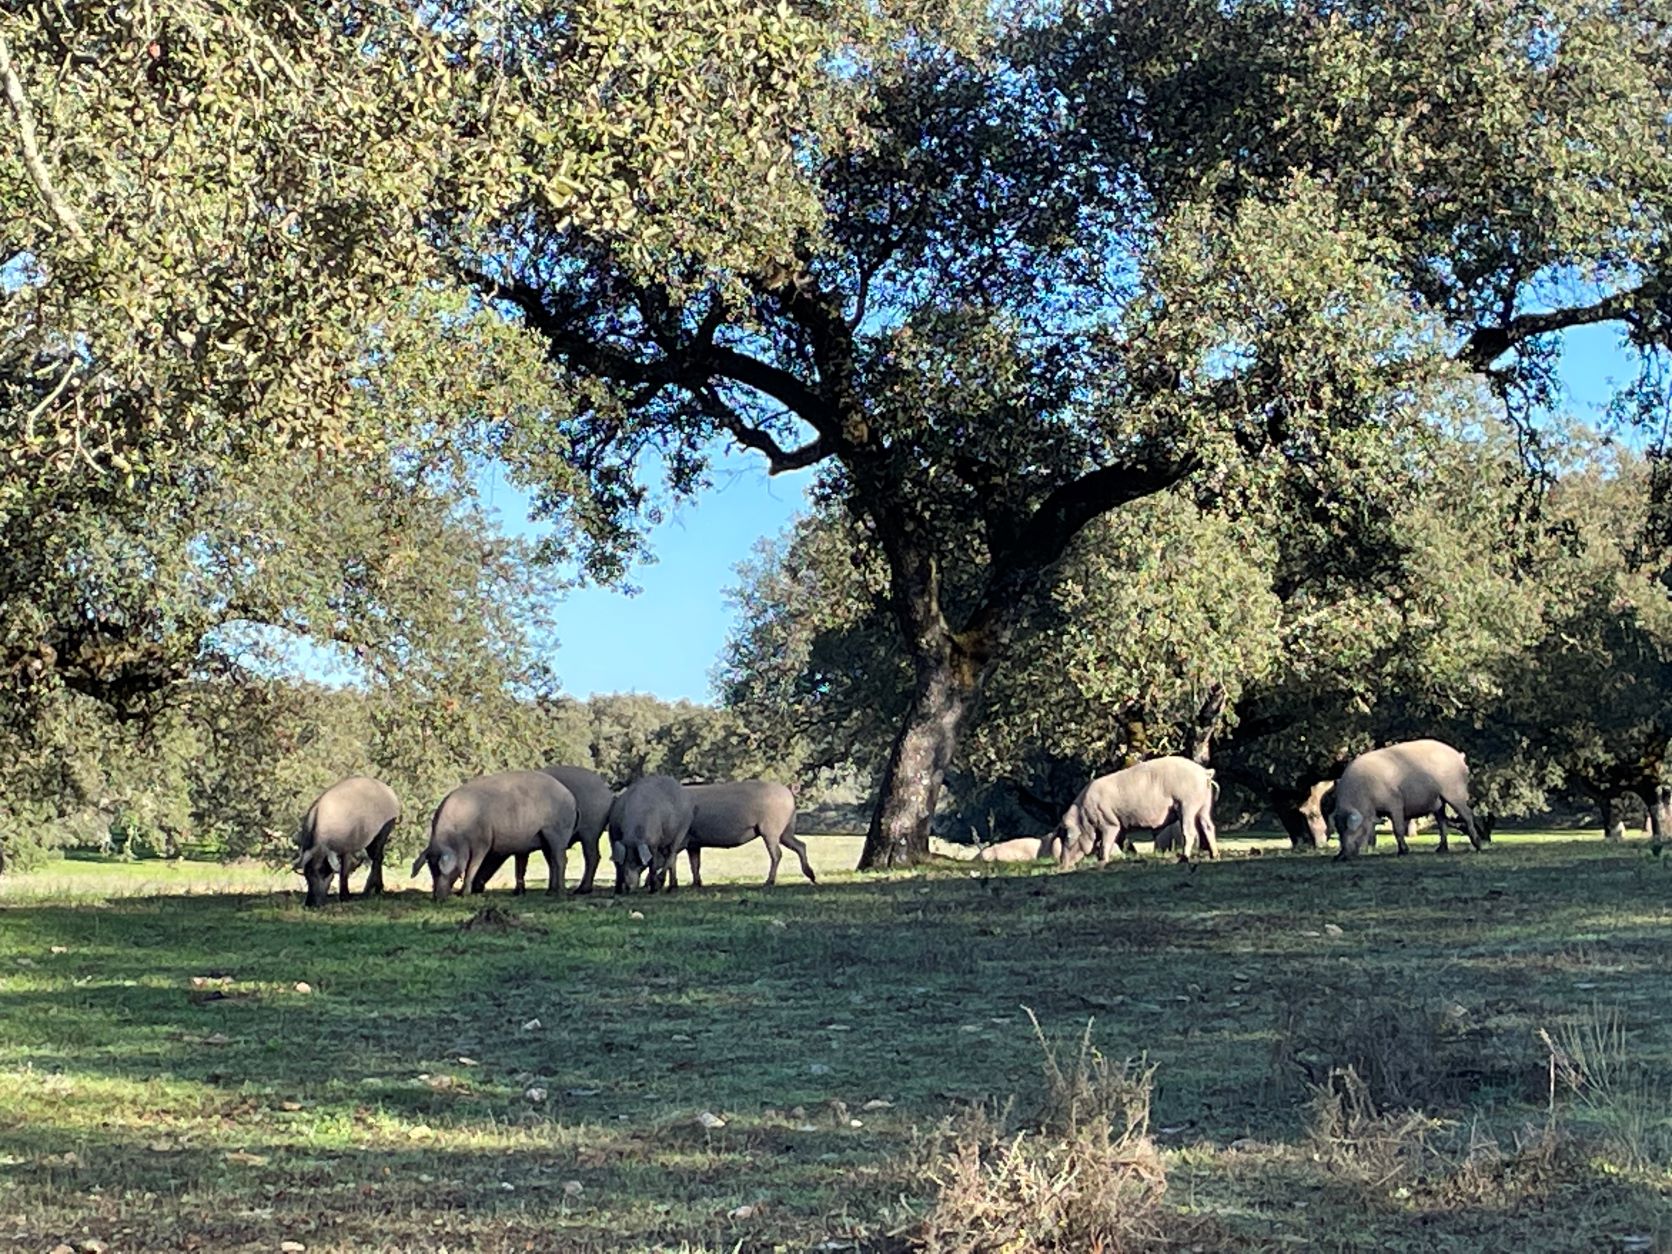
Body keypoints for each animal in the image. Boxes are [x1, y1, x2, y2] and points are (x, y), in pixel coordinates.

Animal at [407, 772, 578, 896]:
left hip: (557, 833)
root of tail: (570, 797)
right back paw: (549, 891)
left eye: (440, 869)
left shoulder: (483, 842)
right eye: (431, 869)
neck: (458, 834)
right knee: (552, 862)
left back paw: (560, 893)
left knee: (561, 860)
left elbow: (472, 866)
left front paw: (464, 893)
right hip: (545, 840)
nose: (437, 897)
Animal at [474, 765, 618, 896]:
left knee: (592, 856)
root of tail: (606, 789)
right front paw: (520, 891)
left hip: (590, 832)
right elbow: (523, 864)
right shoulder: (526, 846)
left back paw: (581, 889)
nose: (476, 888)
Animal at [672, 782, 815, 889]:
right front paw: (696, 884)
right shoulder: (693, 844)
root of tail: (788, 792)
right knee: (800, 846)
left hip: (770, 830)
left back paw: (769, 881)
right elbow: (695, 863)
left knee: (777, 854)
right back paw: (811, 875)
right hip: (785, 830)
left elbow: (674, 861)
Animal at [1056, 755, 1217, 876]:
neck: (1084, 817)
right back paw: (1214, 856)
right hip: (1204, 805)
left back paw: (1183, 859)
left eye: (1068, 837)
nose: (1061, 866)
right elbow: (1109, 843)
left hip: (1187, 804)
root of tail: (1204, 772)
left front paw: (1101, 863)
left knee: (1189, 832)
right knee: (1208, 826)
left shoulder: (1109, 823)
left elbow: (1104, 843)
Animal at [1324, 742, 1484, 862]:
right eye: (1339, 830)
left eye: (1352, 829)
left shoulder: (1395, 803)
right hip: (1438, 802)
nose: (1341, 857)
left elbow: (1398, 829)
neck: (1365, 795)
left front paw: (1403, 852)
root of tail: (1458, 755)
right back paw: (1440, 850)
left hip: (1455, 792)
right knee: (1442, 821)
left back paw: (1478, 847)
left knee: (1467, 814)